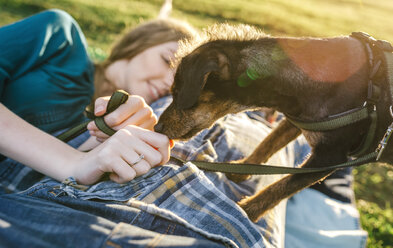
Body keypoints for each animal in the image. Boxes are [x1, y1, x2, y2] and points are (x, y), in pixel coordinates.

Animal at [154, 24, 392, 223]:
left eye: (178, 93)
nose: (157, 127)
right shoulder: (296, 121)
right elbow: (268, 143)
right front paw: (242, 169)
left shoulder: (331, 158)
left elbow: (282, 187)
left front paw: (246, 212)